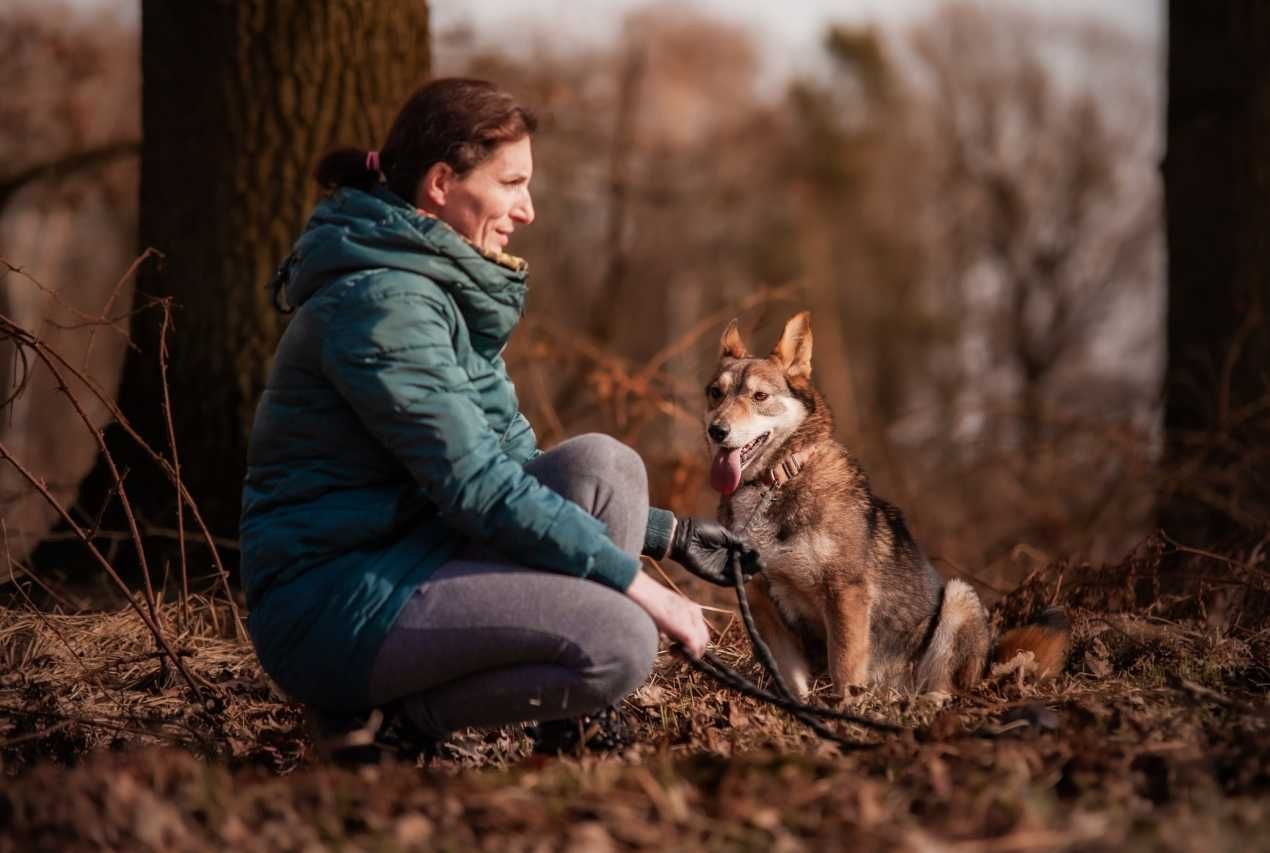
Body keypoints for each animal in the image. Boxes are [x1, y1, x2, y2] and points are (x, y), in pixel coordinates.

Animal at [706, 309, 1071, 695]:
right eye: (715, 393)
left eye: (759, 396)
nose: (716, 431)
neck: (774, 483)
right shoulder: (762, 606)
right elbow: (792, 682)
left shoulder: (845, 593)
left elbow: (844, 670)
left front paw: (844, 707)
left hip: (958, 599)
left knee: (944, 687)